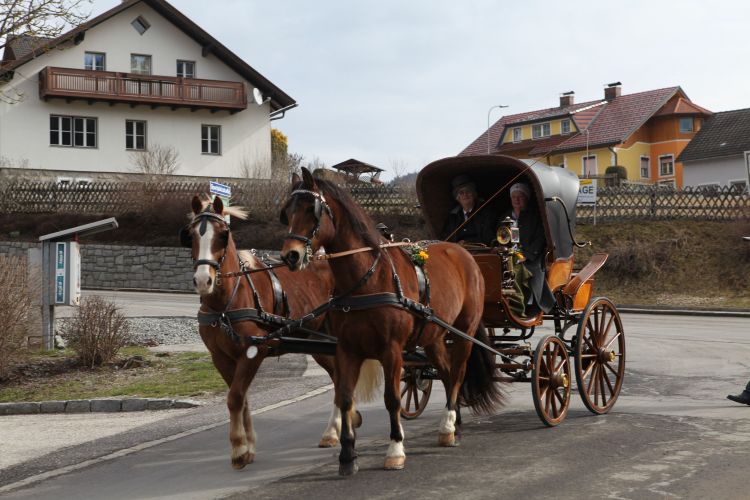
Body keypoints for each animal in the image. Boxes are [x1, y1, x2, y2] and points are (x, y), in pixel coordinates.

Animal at [182, 194, 382, 468]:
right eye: (190, 235)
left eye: (223, 235)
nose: (204, 280)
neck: (226, 302)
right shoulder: (220, 357)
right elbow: (241, 399)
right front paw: (248, 445)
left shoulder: (253, 351)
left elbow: (235, 397)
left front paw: (239, 448)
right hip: (318, 343)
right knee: (337, 376)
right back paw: (340, 425)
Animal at [278, 170, 506, 474]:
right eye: (287, 212)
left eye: (310, 211)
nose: (290, 256)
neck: (368, 278)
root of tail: (465, 252)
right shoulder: (347, 348)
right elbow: (345, 396)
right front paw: (347, 455)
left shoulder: (392, 350)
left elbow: (392, 398)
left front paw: (396, 449)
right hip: (434, 336)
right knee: (446, 374)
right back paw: (453, 425)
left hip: (463, 331)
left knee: (457, 373)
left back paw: (448, 424)